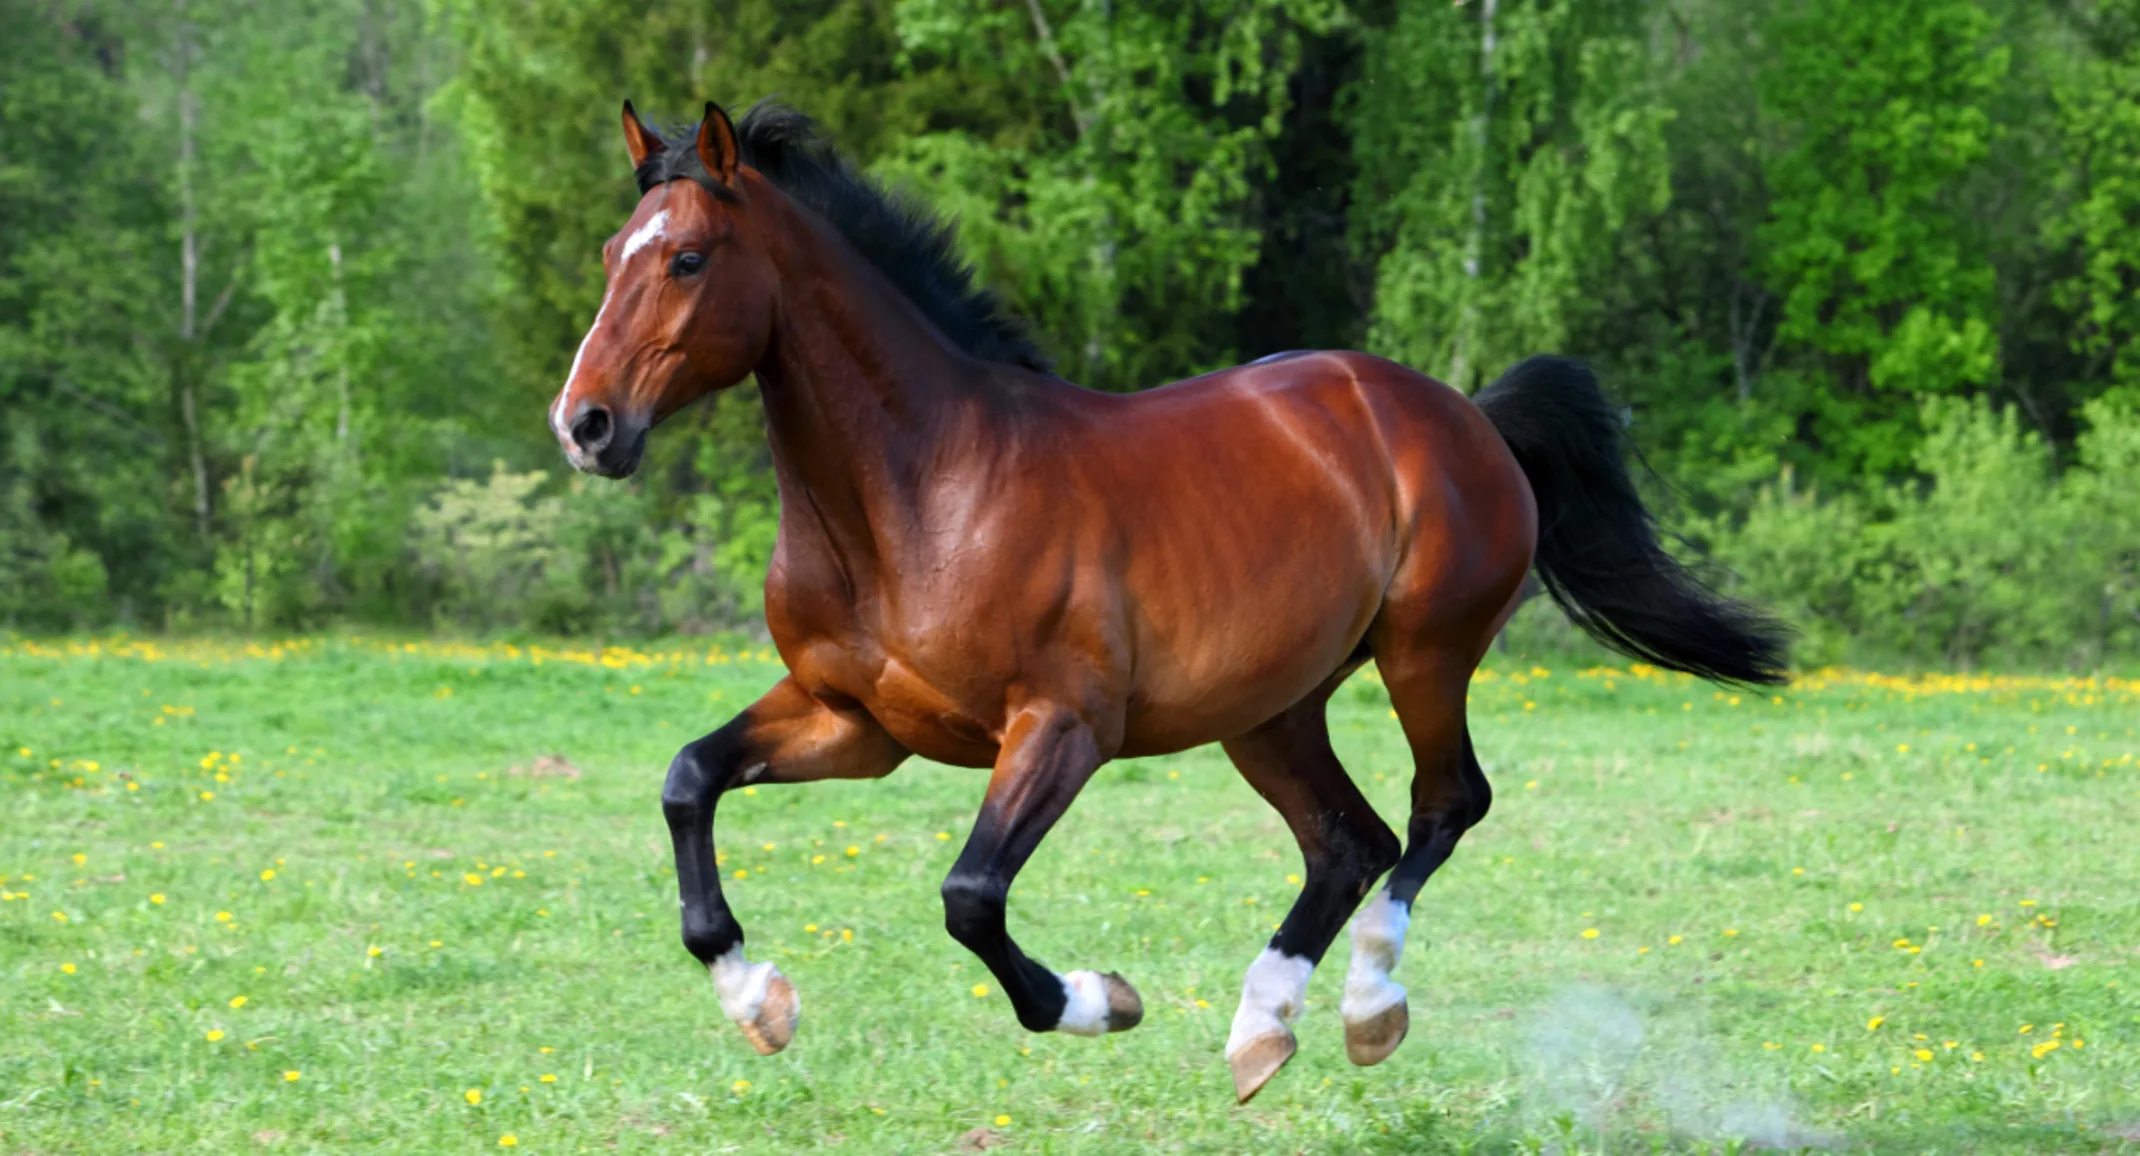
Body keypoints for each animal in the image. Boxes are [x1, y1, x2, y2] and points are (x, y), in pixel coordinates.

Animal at [546, 99, 1789, 1102]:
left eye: (690, 258)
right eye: (609, 252)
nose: (585, 425)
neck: (921, 491)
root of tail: (1463, 414)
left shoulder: (1061, 727)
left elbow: (969, 895)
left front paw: (1102, 999)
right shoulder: (856, 723)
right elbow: (688, 781)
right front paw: (759, 999)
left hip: (1423, 655)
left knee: (1442, 807)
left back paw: (1365, 1012)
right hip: (1268, 709)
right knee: (1349, 838)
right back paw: (1259, 1032)